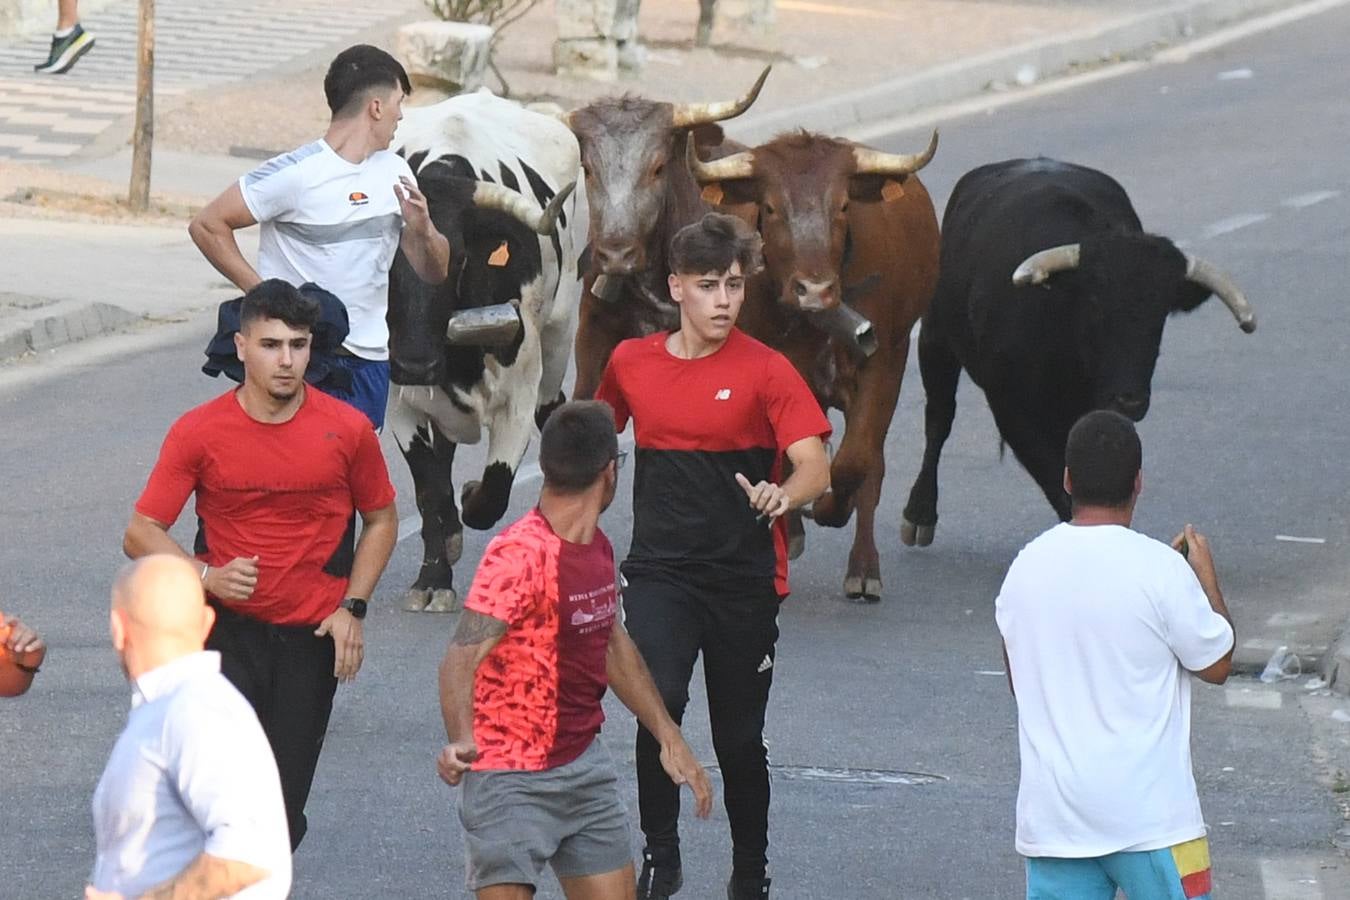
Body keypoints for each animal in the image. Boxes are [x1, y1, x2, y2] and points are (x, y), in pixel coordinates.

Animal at [386, 91, 585, 612]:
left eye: (457, 258)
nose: (415, 363)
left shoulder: (518, 394)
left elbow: (492, 491)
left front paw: (473, 493)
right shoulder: (396, 400)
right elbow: (430, 490)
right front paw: (433, 577)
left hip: (560, 333)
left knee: (553, 409)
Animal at [691, 130, 945, 601]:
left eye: (843, 205)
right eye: (771, 207)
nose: (814, 291)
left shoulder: (885, 363)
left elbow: (855, 461)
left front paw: (828, 510)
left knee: (870, 463)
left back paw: (863, 567)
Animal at [896, 158, 1252, 545]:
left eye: (1161, 314)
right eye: (1094, 304)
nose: (1130, 400)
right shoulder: (1010, 408)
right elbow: (1057, 480)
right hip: (935, 339)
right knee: (939, 418)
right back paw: (919, 513)